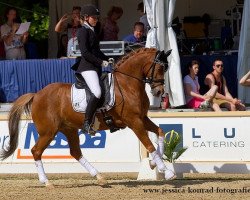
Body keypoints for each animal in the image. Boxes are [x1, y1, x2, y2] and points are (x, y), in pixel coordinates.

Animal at [0, 47, 176, 187]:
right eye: (160, 67)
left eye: (166, 68)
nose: (159, 92)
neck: (127, 84)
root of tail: (36, 95)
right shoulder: (134, 121)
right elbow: (149, 145)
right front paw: (166, 171)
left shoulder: (142, 118)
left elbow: (160, 132)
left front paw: (153, 164)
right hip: (48, 132)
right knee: (36, 151)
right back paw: (47, 182)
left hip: (69, 129)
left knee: (75, 152)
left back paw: (99, 177)